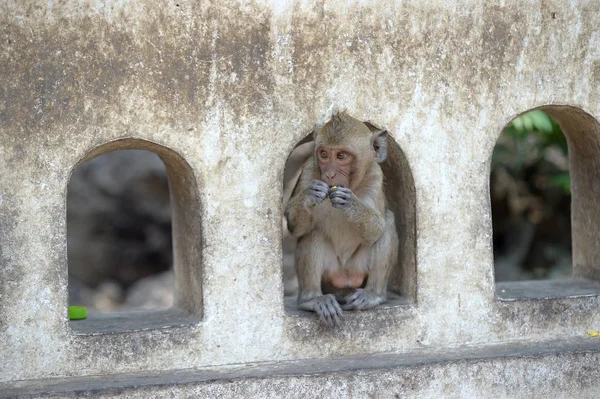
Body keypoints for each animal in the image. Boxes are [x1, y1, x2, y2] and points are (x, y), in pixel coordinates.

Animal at [286, 111, 398, 324]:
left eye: (341, 156)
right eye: (323, 154)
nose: (329, 174)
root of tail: (345, 278)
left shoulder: (375, 176)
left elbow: (377, 229)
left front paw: (350, 202)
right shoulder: (308, 171)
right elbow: (293, 224)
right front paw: (310, 195)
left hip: (358, 269)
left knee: (387, 222)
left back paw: (373, 295)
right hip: (331, 273)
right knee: (312, 233)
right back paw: (312, 299)